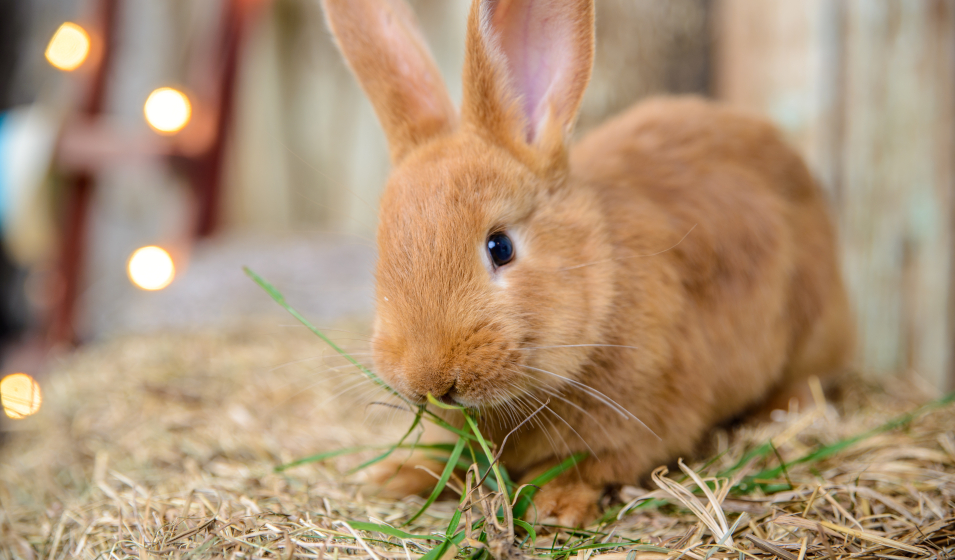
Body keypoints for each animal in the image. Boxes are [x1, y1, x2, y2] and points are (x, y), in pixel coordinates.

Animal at [320, 0, 853, 527]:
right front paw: (392, 475)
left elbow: (596, 464)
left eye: (500, 247)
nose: (429, 380)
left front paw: (554, 505)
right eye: (384, 252)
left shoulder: (648, 420)